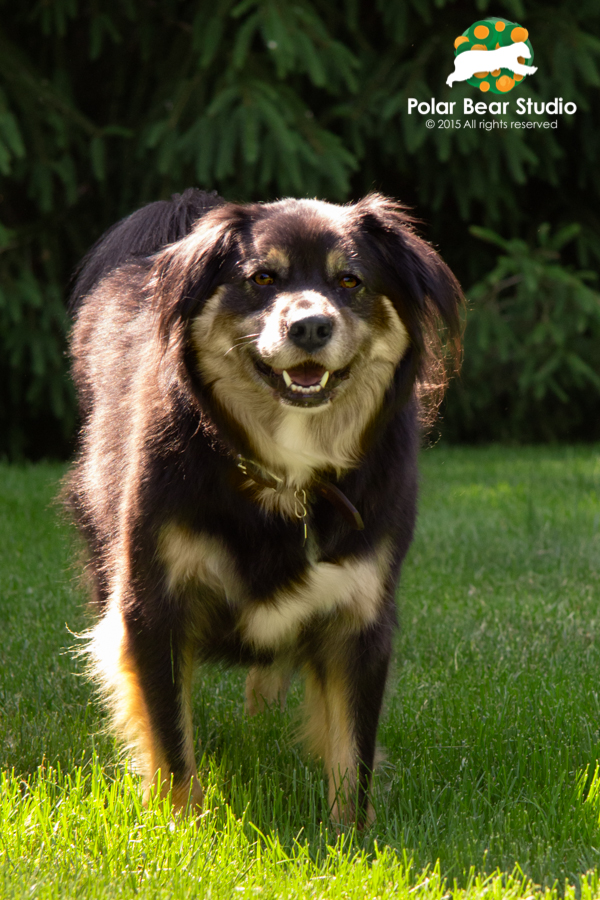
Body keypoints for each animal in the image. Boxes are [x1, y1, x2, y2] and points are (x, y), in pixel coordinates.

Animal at [65, 192, 462, 828]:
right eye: (262, 278)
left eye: (349, 280)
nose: (310, 325)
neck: (286, 475)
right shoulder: (152, 604)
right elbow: (170, 737)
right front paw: (182, 829)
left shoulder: (360, 612)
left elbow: (353, 749)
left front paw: (352, 837)